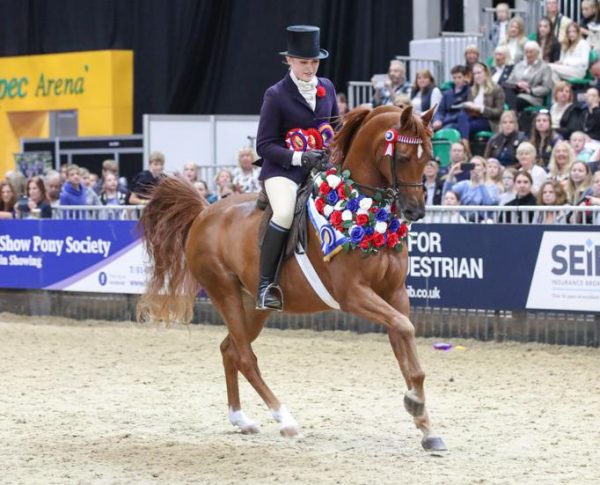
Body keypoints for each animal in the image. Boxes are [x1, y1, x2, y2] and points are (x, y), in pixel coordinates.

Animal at [136, 104, 446, 452]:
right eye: (403, 157)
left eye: (429, 156)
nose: (415, 212)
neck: (362, 210)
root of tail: (204, 212)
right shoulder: (353, 294)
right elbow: (405, 329)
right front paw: (415, 405)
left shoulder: (394, 294)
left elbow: (407, 347)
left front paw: (425, 426)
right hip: (224, 291)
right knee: (245, 357)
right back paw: (285, 420)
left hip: (252, 305)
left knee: (230, 349)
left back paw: (241, 420)